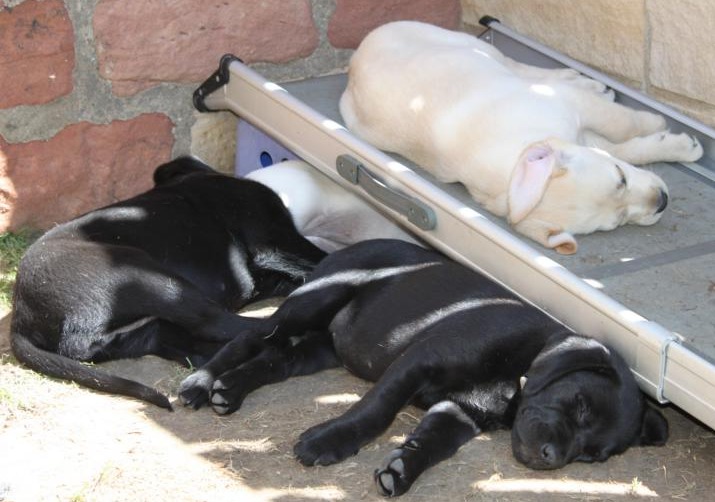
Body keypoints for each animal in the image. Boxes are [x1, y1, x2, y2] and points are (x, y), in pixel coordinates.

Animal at [10, 156, 326, 409]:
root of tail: (20, 319)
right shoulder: (275, 237)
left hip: (135, 334)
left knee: (186, 342)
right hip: (148, 274)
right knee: (224, 325)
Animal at [178, 239, 668, 496]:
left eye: (591, 457)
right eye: (579, 404)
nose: (551, 458)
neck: (518, 373)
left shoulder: (460, 412)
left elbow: (433, 443)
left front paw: (403, 469)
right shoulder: (419, 362)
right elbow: (376, 411)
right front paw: (328, 441)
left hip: (318, 349)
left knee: (274, 359)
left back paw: (229, 390)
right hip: (312, 302)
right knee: (250, 338)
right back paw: (201, 382)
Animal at [339, 21, 704, 254]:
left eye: (621, 178)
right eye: (618, 221)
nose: (662, 201)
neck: (513, 162)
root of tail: (353, 60)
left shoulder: (573, 110)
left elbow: (624, 133)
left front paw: (661, 131)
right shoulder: (578, 118)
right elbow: (624, 134)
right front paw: (672, 137)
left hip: (470, 46)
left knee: (518, 65)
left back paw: (581, 78)